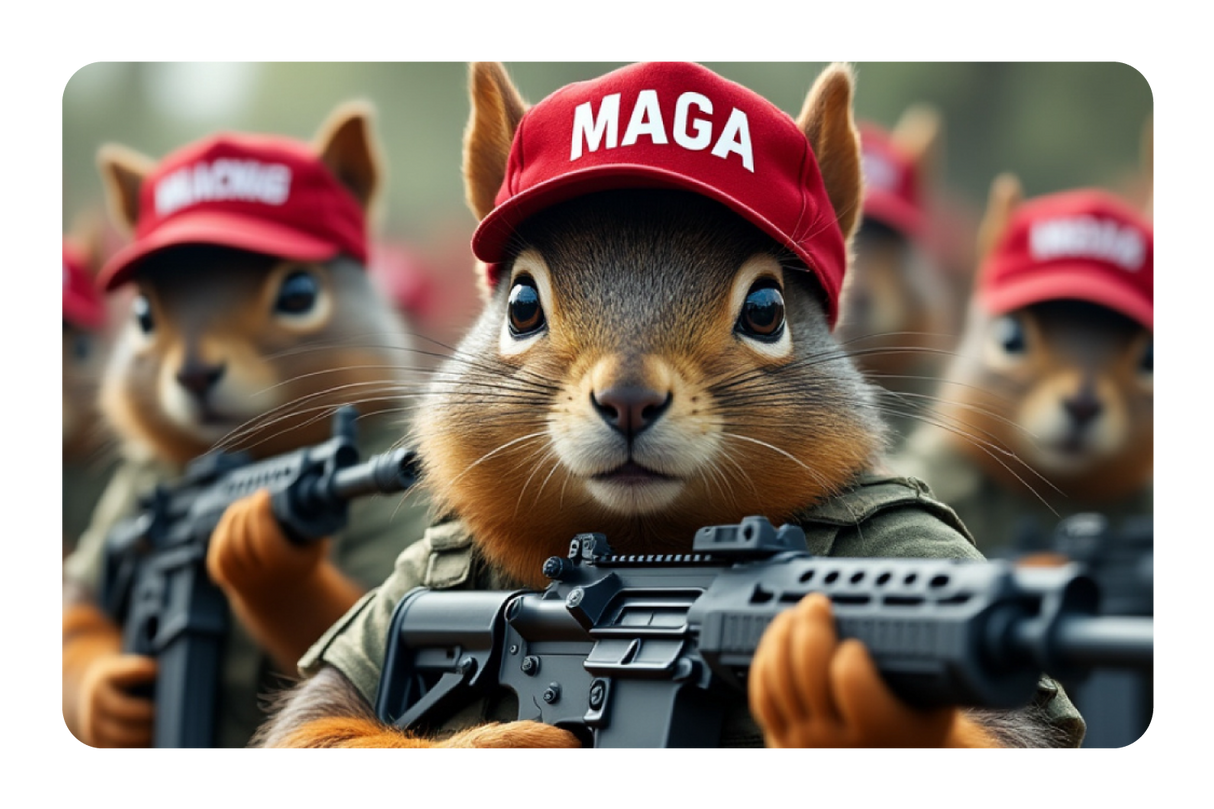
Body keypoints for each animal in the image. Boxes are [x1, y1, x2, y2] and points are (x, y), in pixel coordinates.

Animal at [59, 101, 432, 750]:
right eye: (143, 315)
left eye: (299, 293)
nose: (195, 374)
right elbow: (75, 616)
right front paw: (108, 697)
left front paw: (263, 556)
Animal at [249, 59, 1085, 751]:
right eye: (520, 303)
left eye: (767, 309)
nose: (627, 399)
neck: (645, 542)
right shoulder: (410, 579)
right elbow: (314, 725)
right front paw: (513, 738)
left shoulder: (916, 535)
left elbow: (1011, 734)